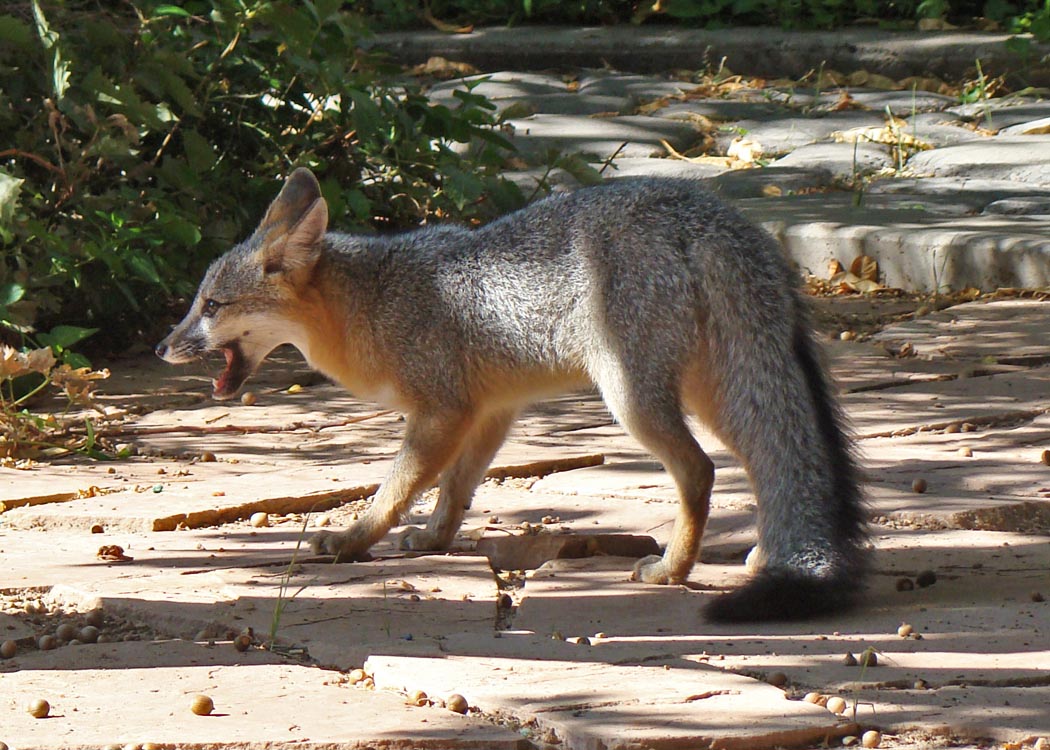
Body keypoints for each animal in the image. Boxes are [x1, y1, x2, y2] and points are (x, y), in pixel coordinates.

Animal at [156, 167, 867, 622]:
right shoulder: (490, 411)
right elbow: (456, 489)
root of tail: (708, 212)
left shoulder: (440, 411)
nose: (162, 346)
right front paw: (433, 538)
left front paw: (354, 540)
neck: (374, 301)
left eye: (211, 307)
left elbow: (395, 488)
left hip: (633, 399)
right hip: (716, 394)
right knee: (766, 460)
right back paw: (763, 554)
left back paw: (672, 569)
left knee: (701, 470)